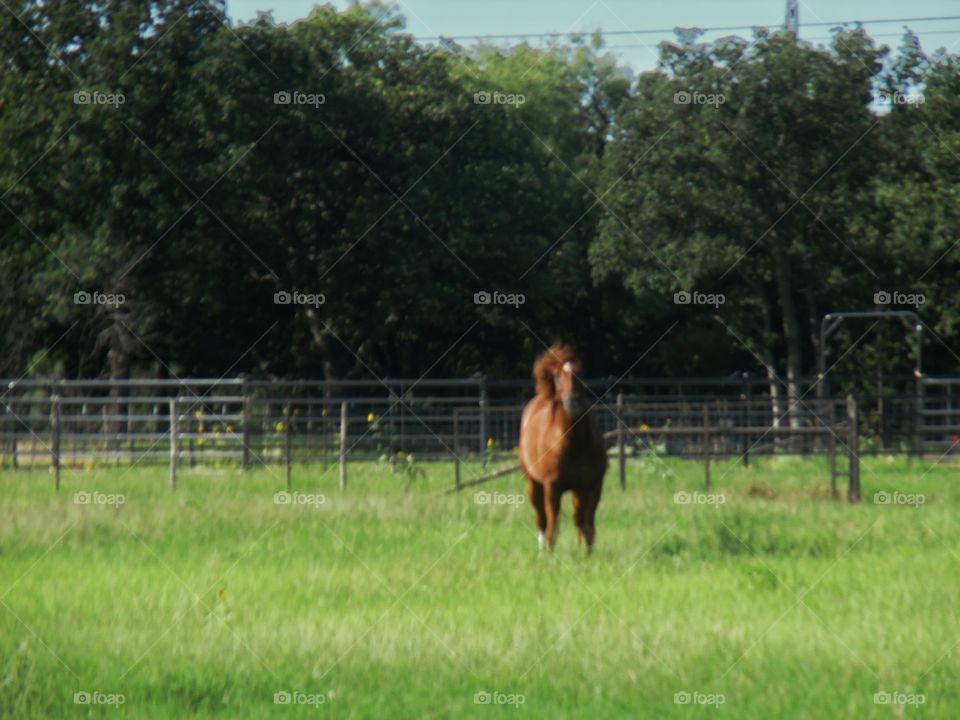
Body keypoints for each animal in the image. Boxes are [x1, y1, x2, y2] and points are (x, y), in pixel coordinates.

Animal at [518, 344, 607, 552]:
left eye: (580, 374)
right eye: (558, 376)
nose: (573, 402)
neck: (573, 445)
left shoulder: (592, 485)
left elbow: (587, 525)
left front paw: (588, 555)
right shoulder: (552, 487)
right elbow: (552, 526)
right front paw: (550, 556)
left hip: (576, 490)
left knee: (578, 519)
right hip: (533, 485)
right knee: (542, 520)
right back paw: (542, 550)